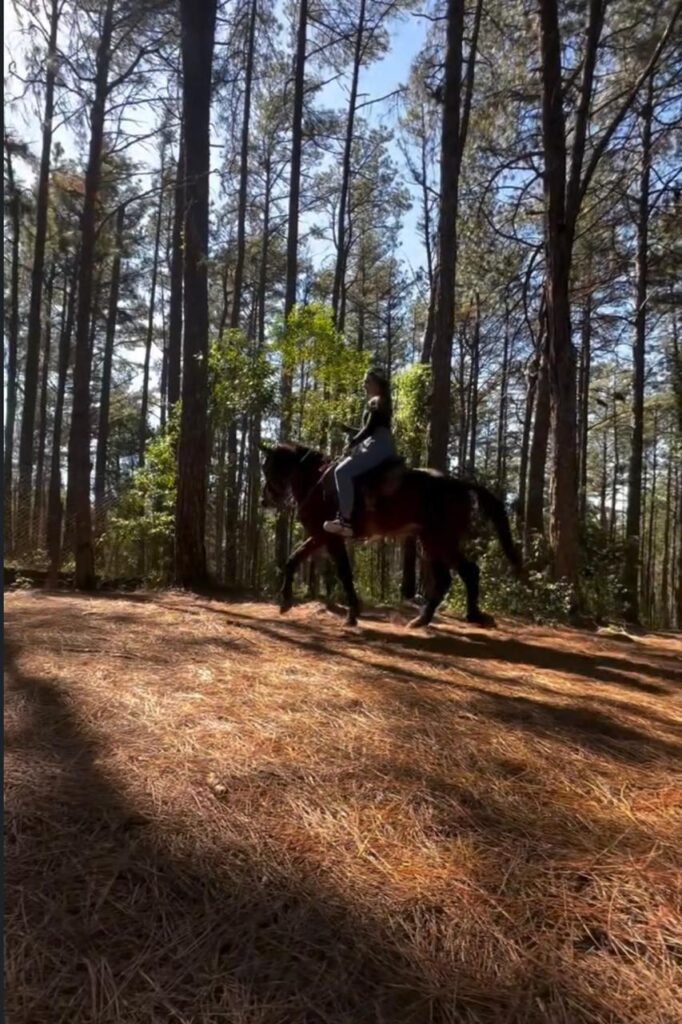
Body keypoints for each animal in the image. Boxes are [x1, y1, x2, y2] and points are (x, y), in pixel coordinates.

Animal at [260, 441, 524, 628]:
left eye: (268, 468)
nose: (265, 500)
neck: (317, 483)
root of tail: (460, 484)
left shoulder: (331, 538)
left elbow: (344, 573)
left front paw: (352, 614)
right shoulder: (319, 536)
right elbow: (292, 560)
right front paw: (285, 602)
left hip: (440, 540)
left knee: (467, 572)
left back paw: (468, 616)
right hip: (431, 542)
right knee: (448, 578)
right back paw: (424, 619)